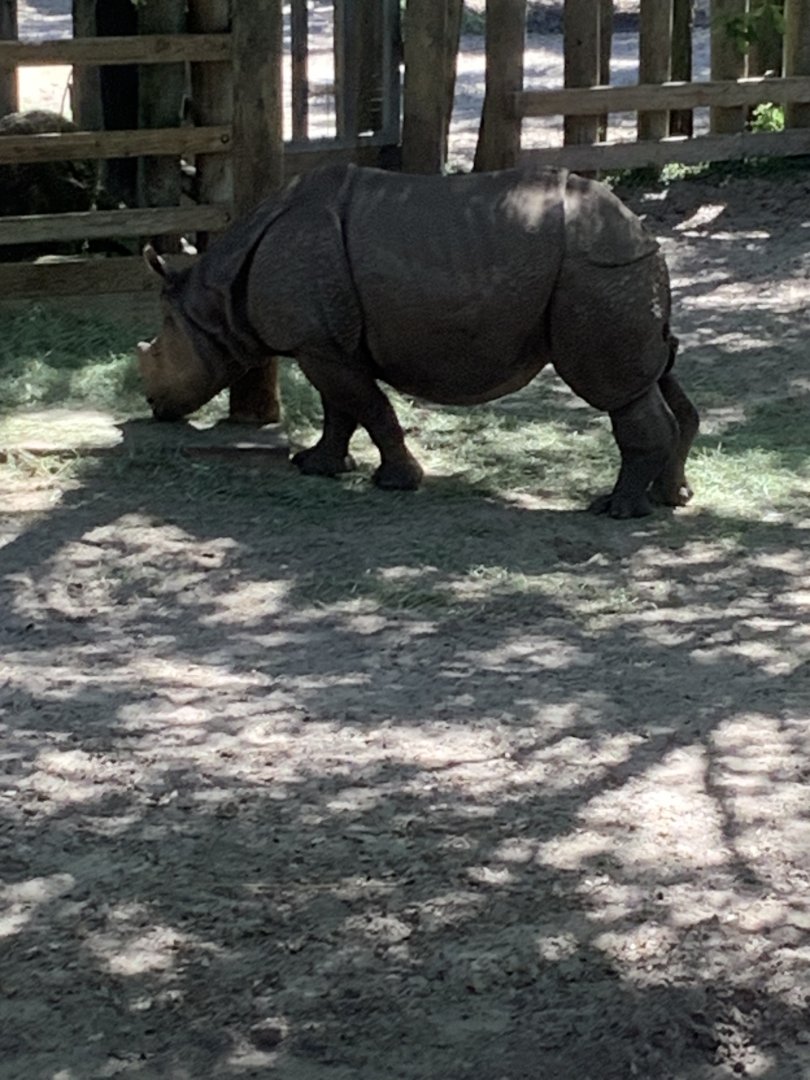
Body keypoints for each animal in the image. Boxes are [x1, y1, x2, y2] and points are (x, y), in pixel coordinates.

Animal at [138, 163, 698, 518]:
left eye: (159, 353)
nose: (152, 405)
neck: (212, 301)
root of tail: (643, 233)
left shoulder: (319, 345)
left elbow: (369, 407)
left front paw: (397, 482)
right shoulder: (325, 343)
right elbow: (341, 410)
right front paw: (317, 467)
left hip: (595, 271)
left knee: (617, 391)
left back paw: (616, 511)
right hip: (616, 269)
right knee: (657, 374)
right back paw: (671, 497)